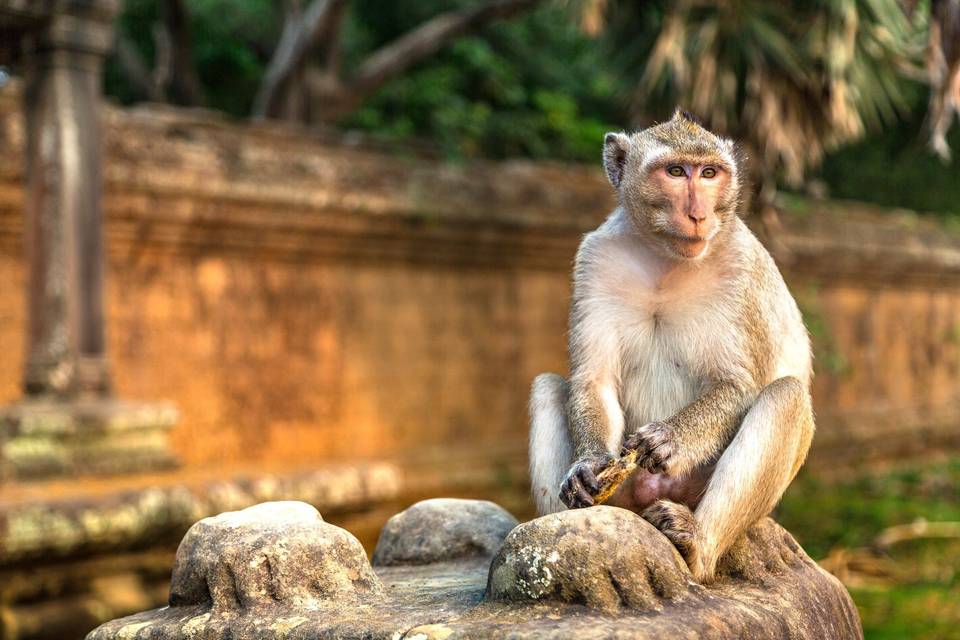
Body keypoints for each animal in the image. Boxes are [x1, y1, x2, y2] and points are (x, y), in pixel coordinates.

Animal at [528, 110, 812, 584]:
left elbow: (740, 385)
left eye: (710, 173)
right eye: (676, 172)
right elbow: (594, 379)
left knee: (785, 395)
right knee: (549, 386)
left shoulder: (743, 267)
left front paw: (668, 438)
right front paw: (589, 465)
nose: (698, 214)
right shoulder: (595, 260)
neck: (666, 260)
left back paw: (696, 544)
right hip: (627, 499)